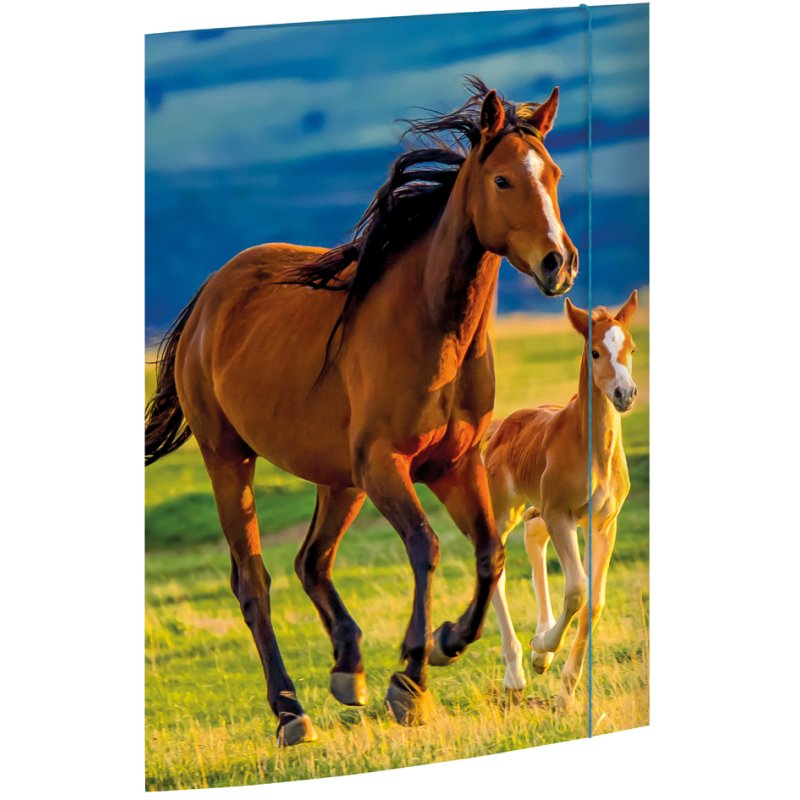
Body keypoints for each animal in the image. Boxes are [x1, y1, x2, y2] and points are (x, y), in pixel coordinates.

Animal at [145, 77, 578, 745]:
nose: (560, 262)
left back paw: (348, 669)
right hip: (230, 460)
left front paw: (447, 642)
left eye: (553, 173)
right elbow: (426, 548)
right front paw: (412, 679)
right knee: (254, 580)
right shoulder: (386, 466)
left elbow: (490, 553)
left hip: (338, 479)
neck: (431, 326)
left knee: (312, 562)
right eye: (504, 180)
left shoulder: (453, 466)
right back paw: (290, 711)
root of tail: (209, 297)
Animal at [482, 291, 638, 708]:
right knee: (497, 565)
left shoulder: (603, 523)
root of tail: (500, 426)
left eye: (632, 348)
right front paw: (541, 648)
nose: (626, 394)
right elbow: (577, 589)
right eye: (596, 352)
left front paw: (565, 694)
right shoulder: (561, 514)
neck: (592, 449)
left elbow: (594, 601)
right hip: (505, 510)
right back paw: (517, 671)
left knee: (533, 539)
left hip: (538, 511)